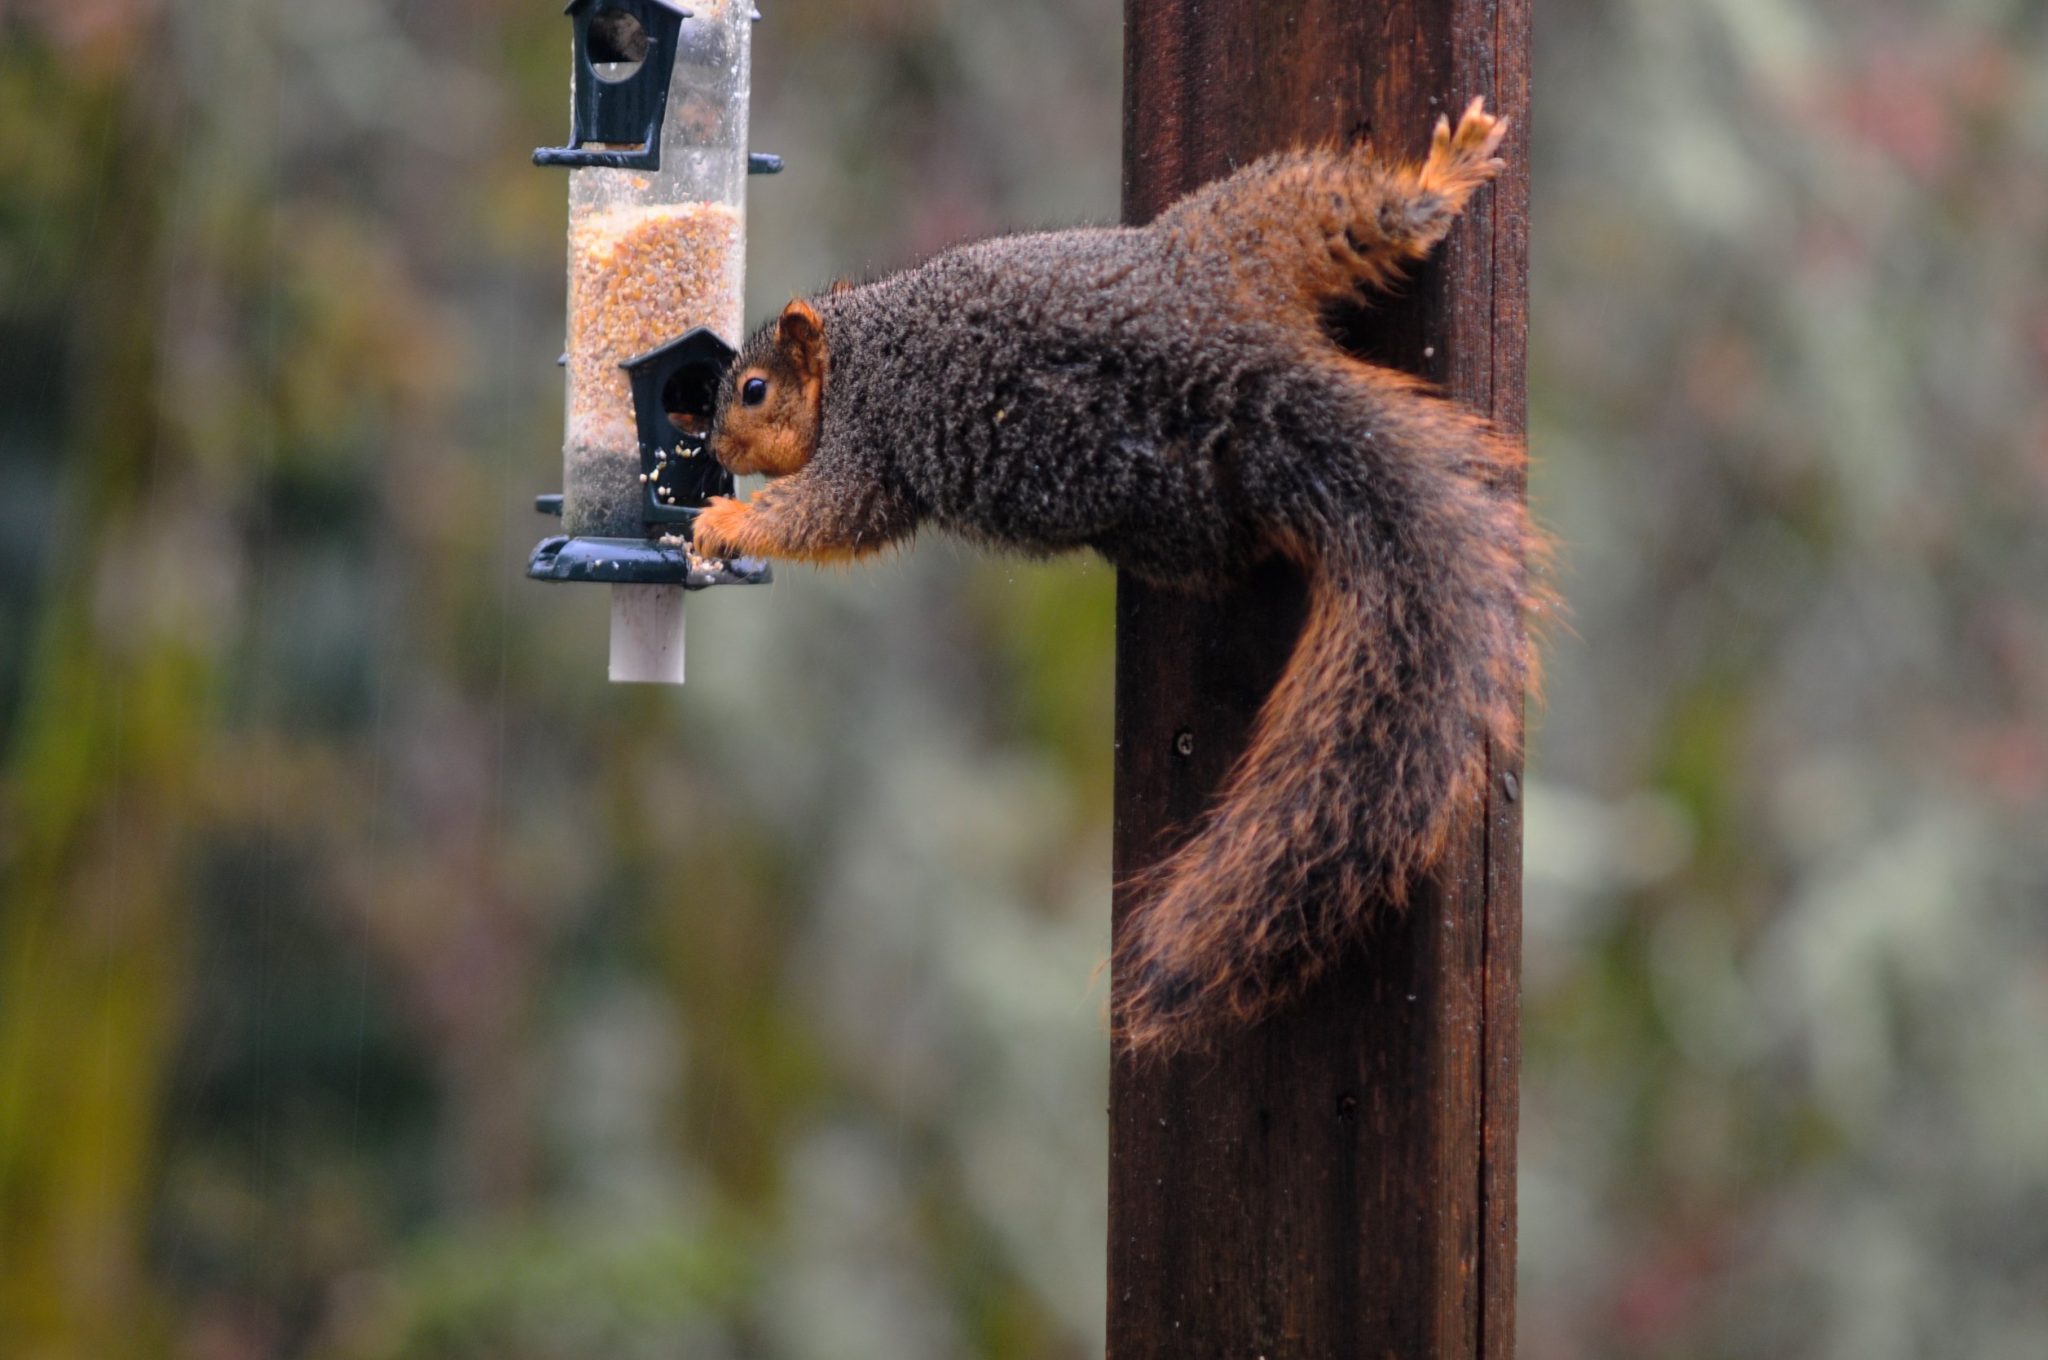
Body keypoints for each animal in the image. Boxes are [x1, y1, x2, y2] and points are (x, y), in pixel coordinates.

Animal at [696, 100, 1540, 1048]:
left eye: (754, 390)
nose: (716, 448)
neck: (857, 353)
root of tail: (1238, 381)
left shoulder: (865, 449)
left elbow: (826, 516)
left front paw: (724, 521)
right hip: (1241, 242)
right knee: (1353, 217)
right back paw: (1444, 176)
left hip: (1177, 497)